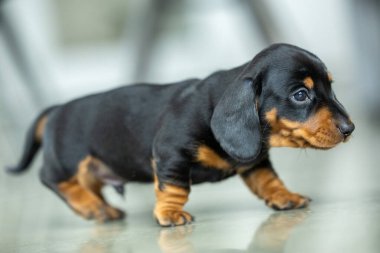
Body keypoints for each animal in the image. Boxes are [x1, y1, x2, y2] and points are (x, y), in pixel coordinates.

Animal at [7, 43, 354, 225]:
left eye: (331, 86)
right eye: (300, 95)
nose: (350, 129)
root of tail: (57, 110)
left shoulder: (255, 161)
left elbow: (269, 181)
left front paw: (285, 197)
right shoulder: (171, 155)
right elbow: (174, 188)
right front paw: (171, 214)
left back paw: (102, 207)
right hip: (68, 160)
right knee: (52, 179)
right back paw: (92, 207)